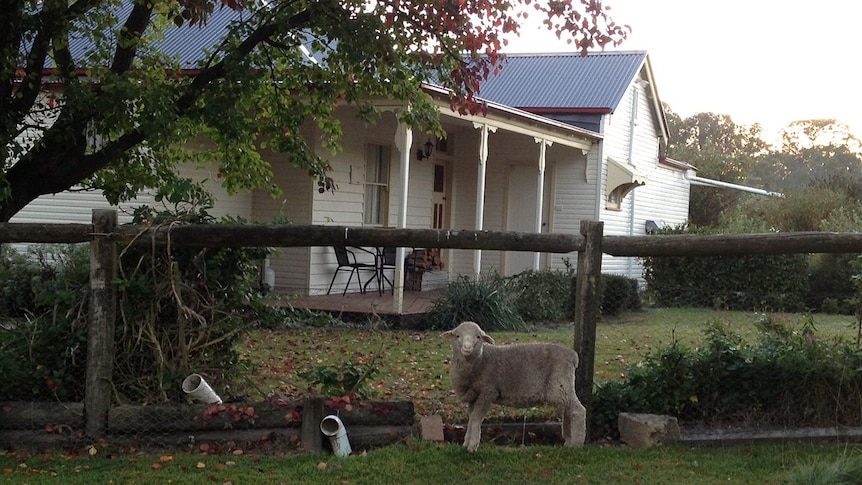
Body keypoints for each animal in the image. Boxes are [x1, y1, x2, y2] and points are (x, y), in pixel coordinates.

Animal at [442, 320, 592, 452]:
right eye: (457, 336)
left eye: (478, 337)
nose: (467, 348)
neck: (480, 361)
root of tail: (572, 355)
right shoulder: (474, 396)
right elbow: (471, 419)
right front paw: (465, 444)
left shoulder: (488, 392)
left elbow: (476, 420)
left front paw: (472, 447)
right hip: (562, 388)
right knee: (567, 411)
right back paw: (568, 441)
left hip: (560, 385)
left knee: (578, 410)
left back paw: (576, 444)